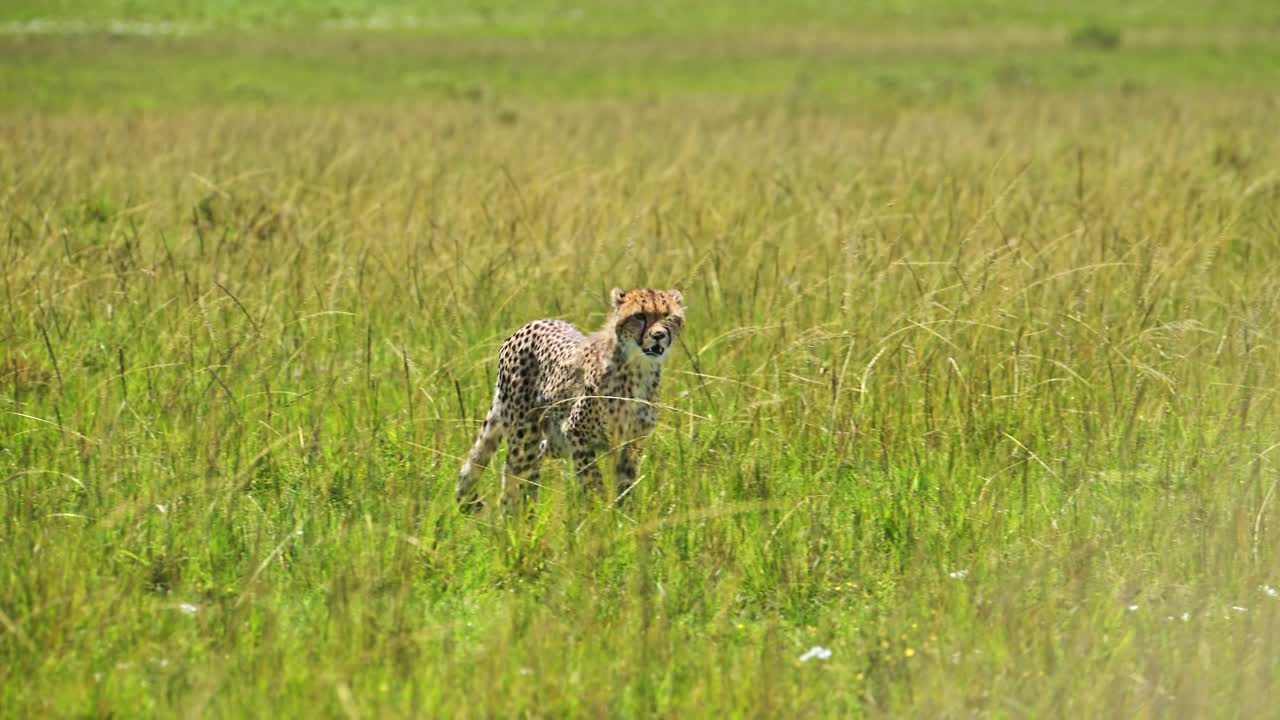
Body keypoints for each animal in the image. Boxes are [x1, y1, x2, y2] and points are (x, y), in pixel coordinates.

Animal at [456, 288, 686, 512]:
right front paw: (598, 513)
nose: (658, 335)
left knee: (535, 457)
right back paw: (514, 516)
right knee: (515, 469)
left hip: (555, 442)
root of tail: (532, 323)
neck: (639, 369)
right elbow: (592, 480)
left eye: (668, 316)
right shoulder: (576, 433)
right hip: (525, 434)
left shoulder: (632, 442)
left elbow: (626, 484)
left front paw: (623, 516)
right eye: (639, 316)